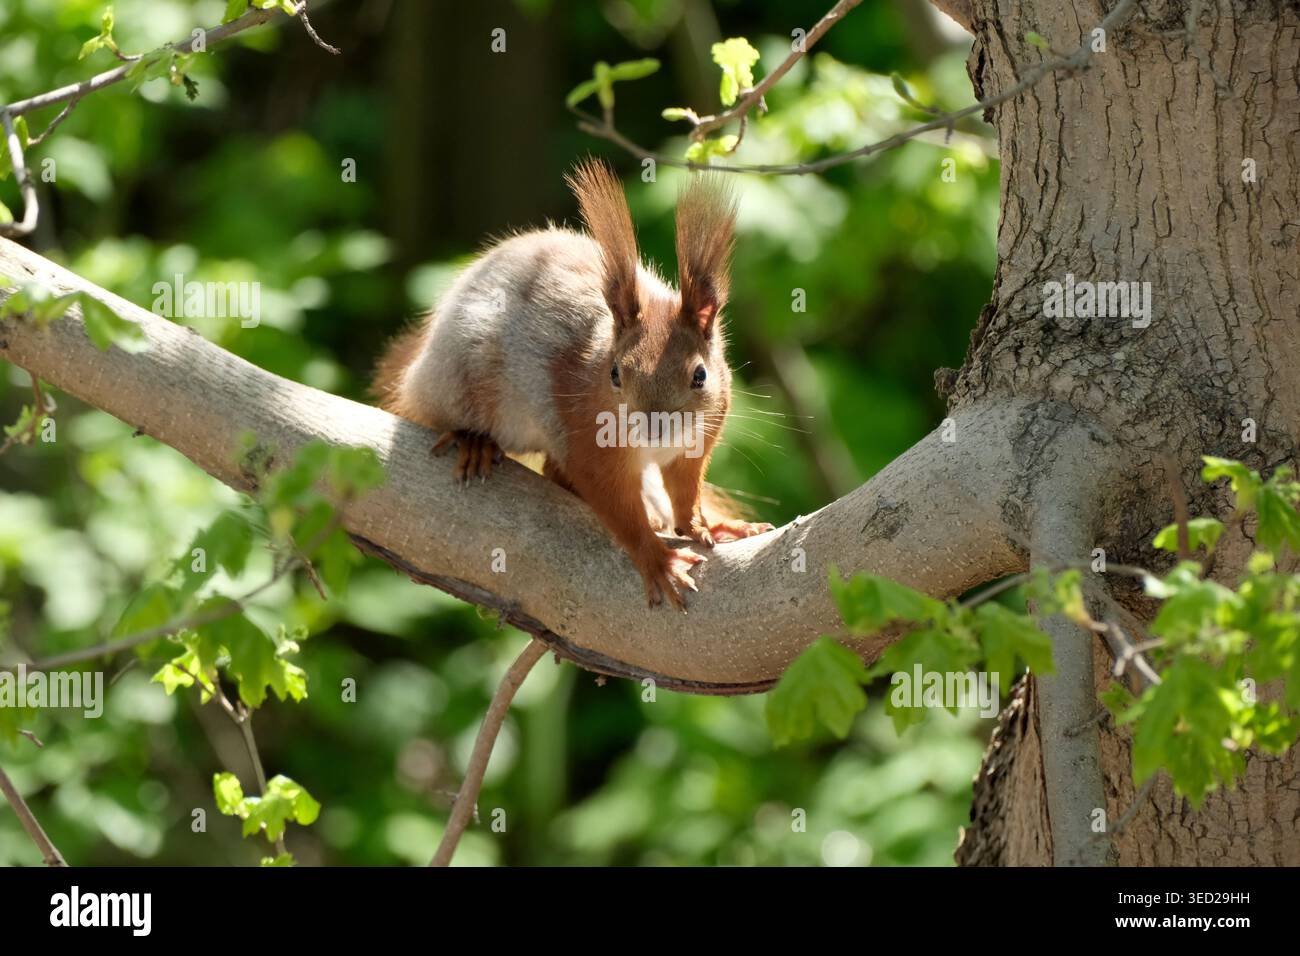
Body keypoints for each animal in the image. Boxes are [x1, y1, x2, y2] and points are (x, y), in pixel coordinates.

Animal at [374, 160, 773, 609]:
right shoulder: (587, 444)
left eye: (700, 375)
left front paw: (706, 525)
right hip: (457, 381)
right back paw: (474, 441)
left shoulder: (698, 442)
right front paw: (659, 561)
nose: (653, 427)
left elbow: (685, 493)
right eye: (615, 373)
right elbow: (617, 508)